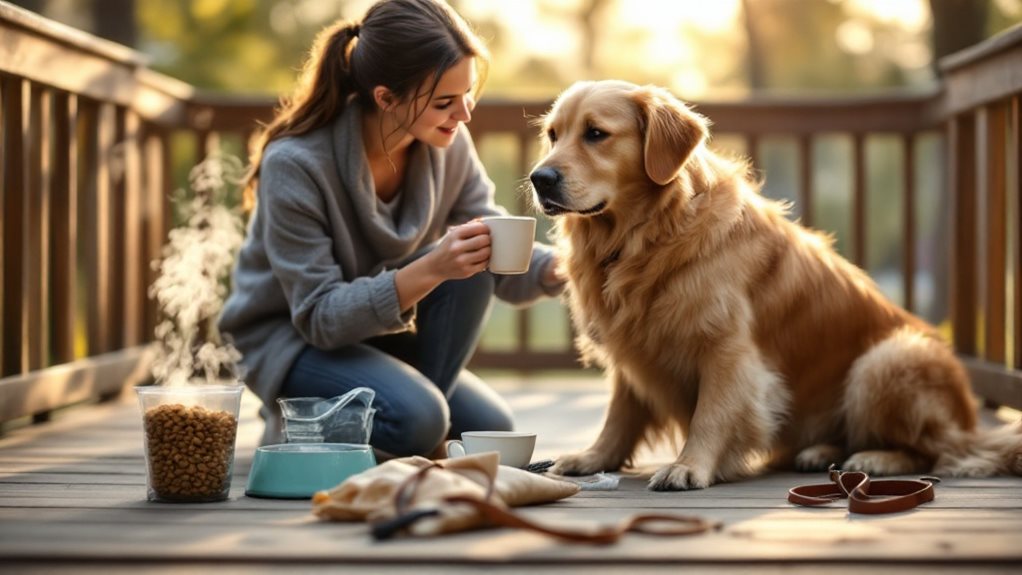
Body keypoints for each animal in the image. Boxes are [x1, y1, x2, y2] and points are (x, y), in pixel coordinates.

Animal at [531, 78, 1021, 490]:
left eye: (596, 133)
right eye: (554, 135)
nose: (540, 178)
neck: (650, 236)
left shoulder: (729, 351)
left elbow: (711, 414)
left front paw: (689, 466)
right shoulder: (633, 343)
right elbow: (620, 413)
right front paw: (594, 457)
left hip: (885, 360)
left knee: (935, 450)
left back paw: (876, 458)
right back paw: (820, 452)